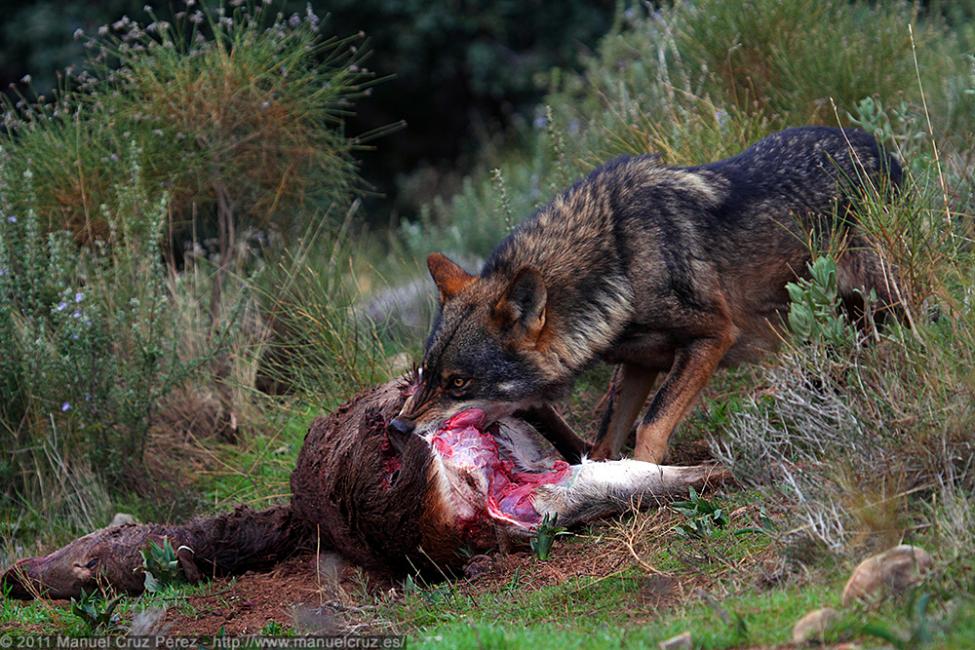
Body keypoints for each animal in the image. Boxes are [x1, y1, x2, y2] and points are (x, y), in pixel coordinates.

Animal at [392, 125, 904, 460]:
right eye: (425, 372)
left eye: (459, 383)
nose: (398, 427)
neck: (619, 268)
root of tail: (878, 144)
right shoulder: (639, 363)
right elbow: (606, 438)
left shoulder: (713, 337)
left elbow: (652, 426)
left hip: (879, 293)